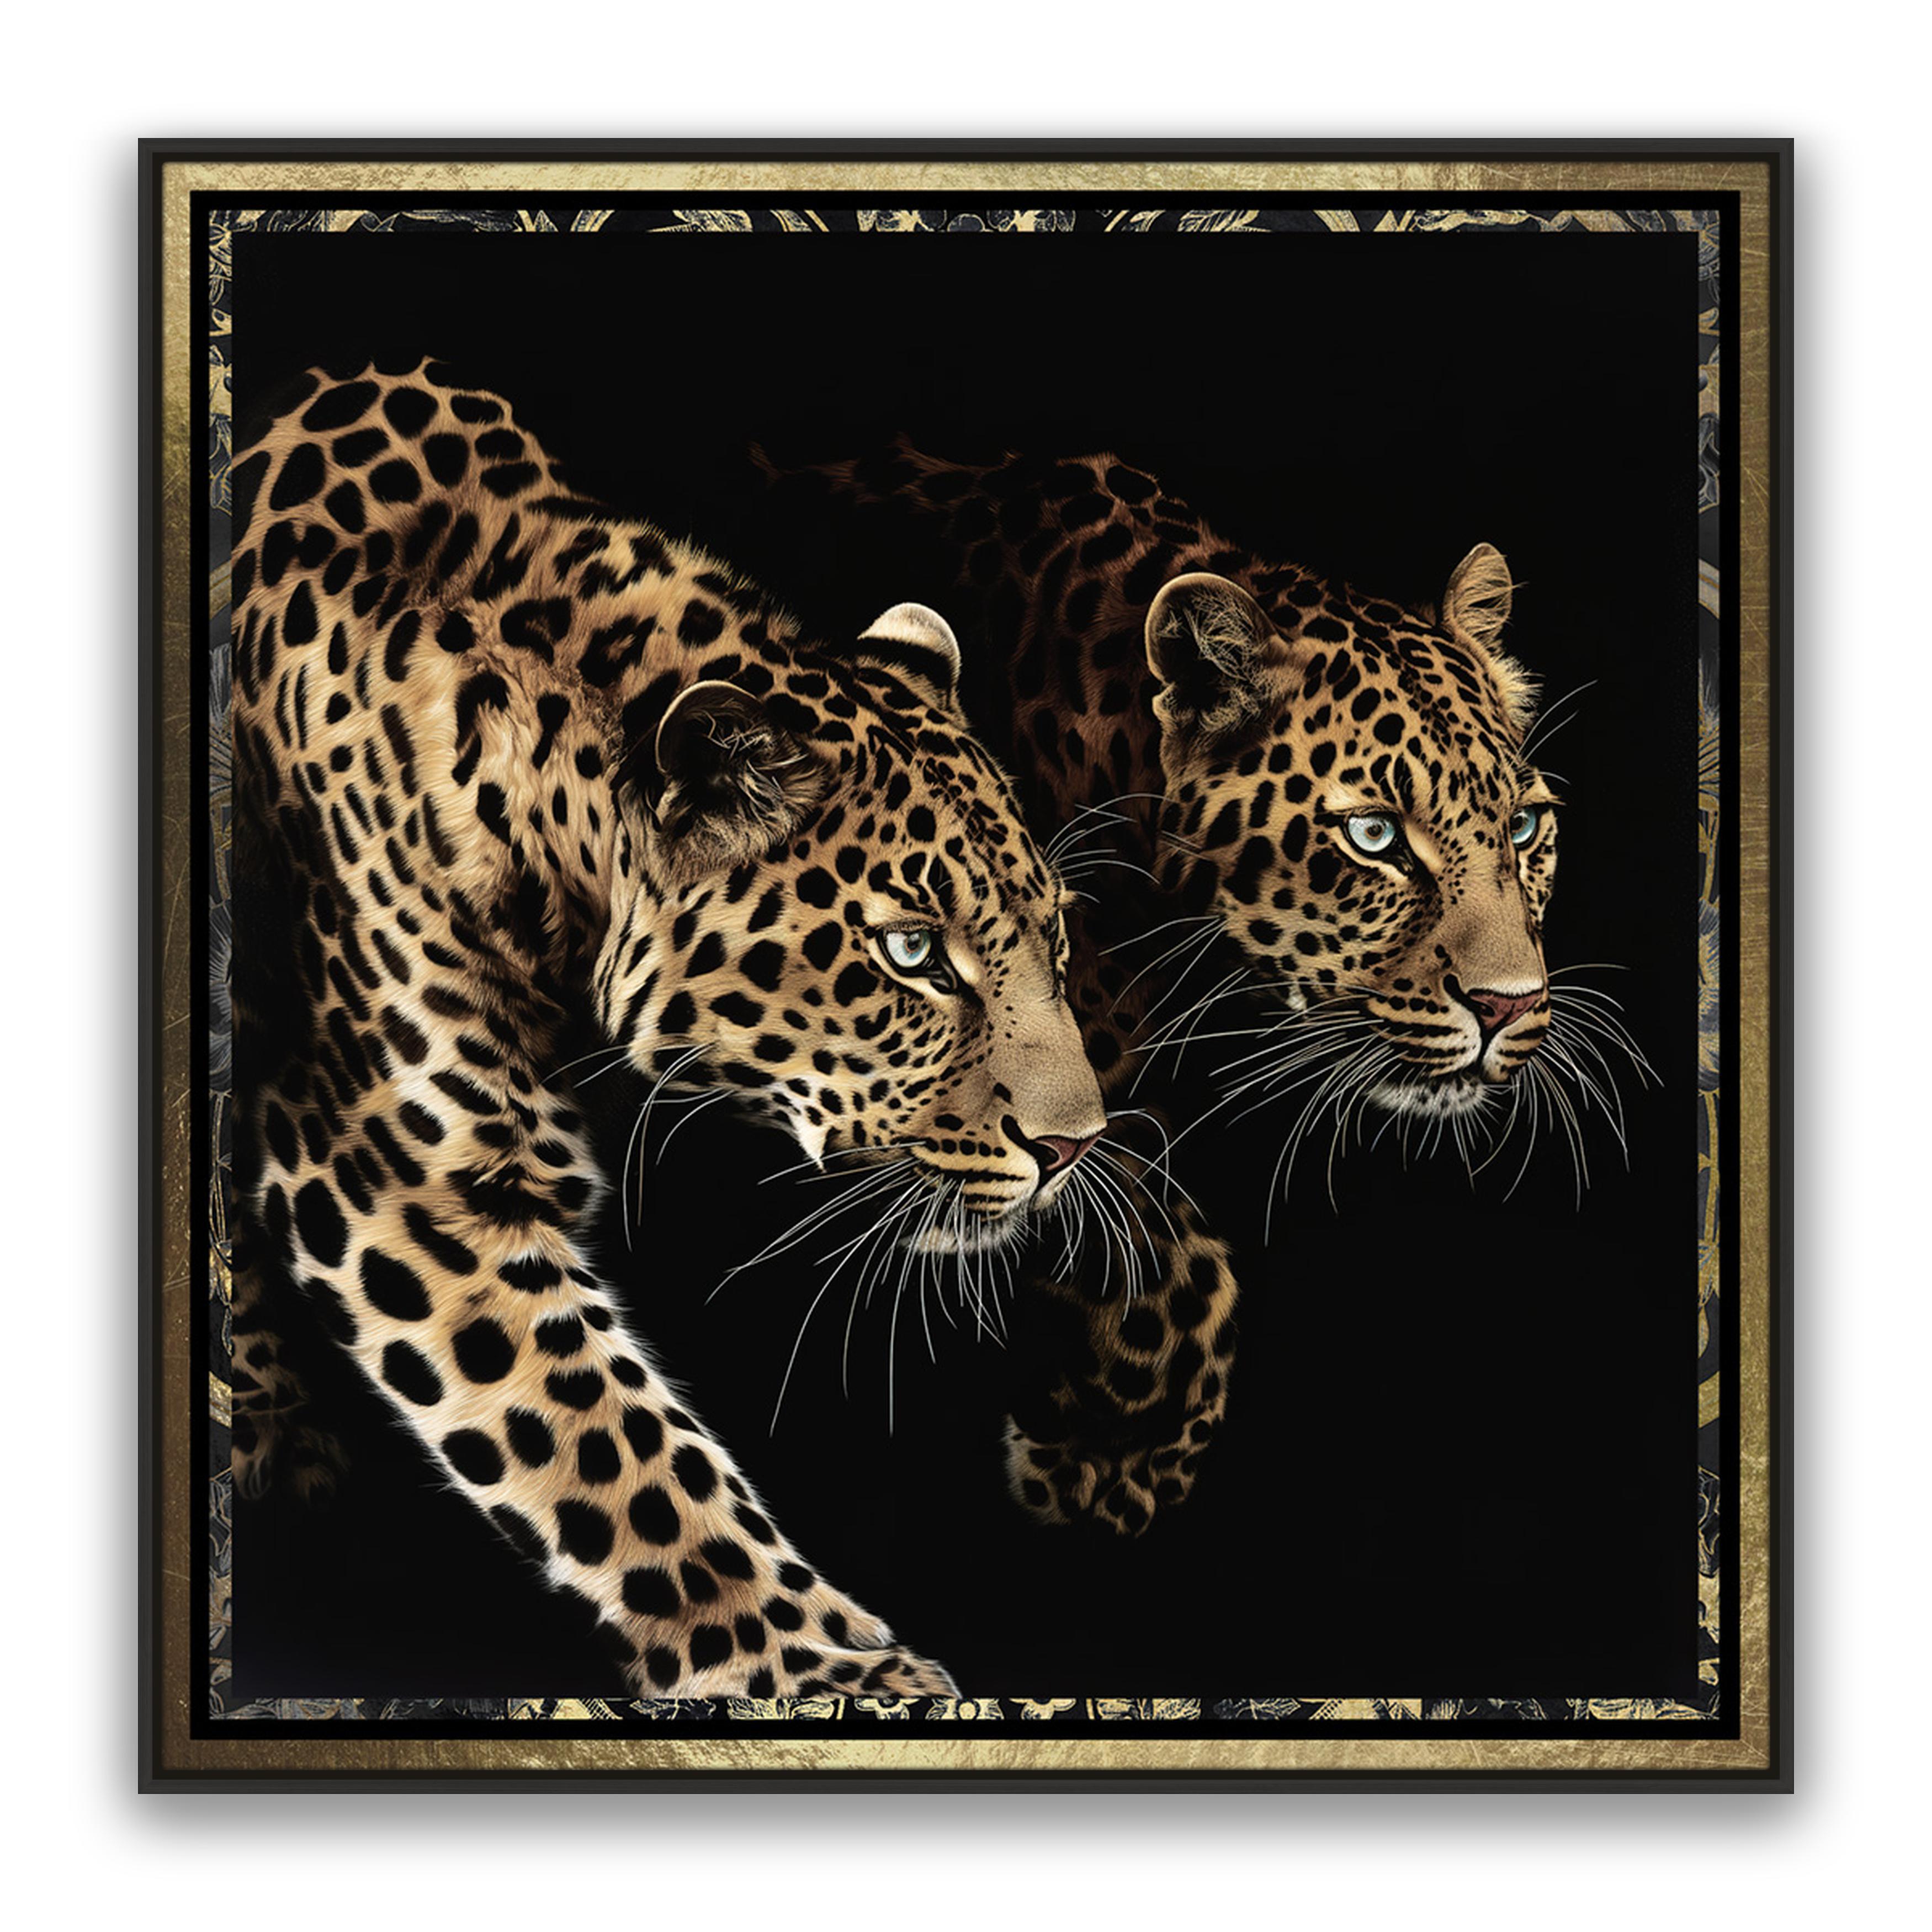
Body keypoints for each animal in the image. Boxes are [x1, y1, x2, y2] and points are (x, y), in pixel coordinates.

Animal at [225, 362, 1115, 1701]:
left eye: (1051, 933)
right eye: (912, 953)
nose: (1077, 1147)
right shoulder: (395, 1171)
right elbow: (618, 1454)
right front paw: (829, 1670)